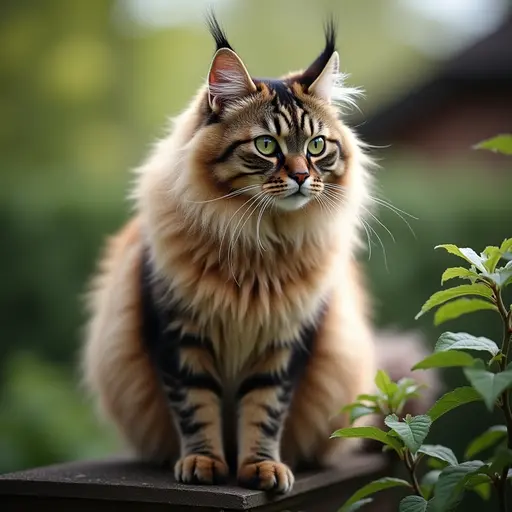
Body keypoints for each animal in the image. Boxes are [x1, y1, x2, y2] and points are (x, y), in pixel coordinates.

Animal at [80, 14, 436, 494]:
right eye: (267, 146)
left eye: (317, 146)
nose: (302, 176)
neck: (259, 243)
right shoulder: (178, 334)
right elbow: (196, 408)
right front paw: (204, 463)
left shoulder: (284, 342)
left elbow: (264, 412)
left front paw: (261, 468)